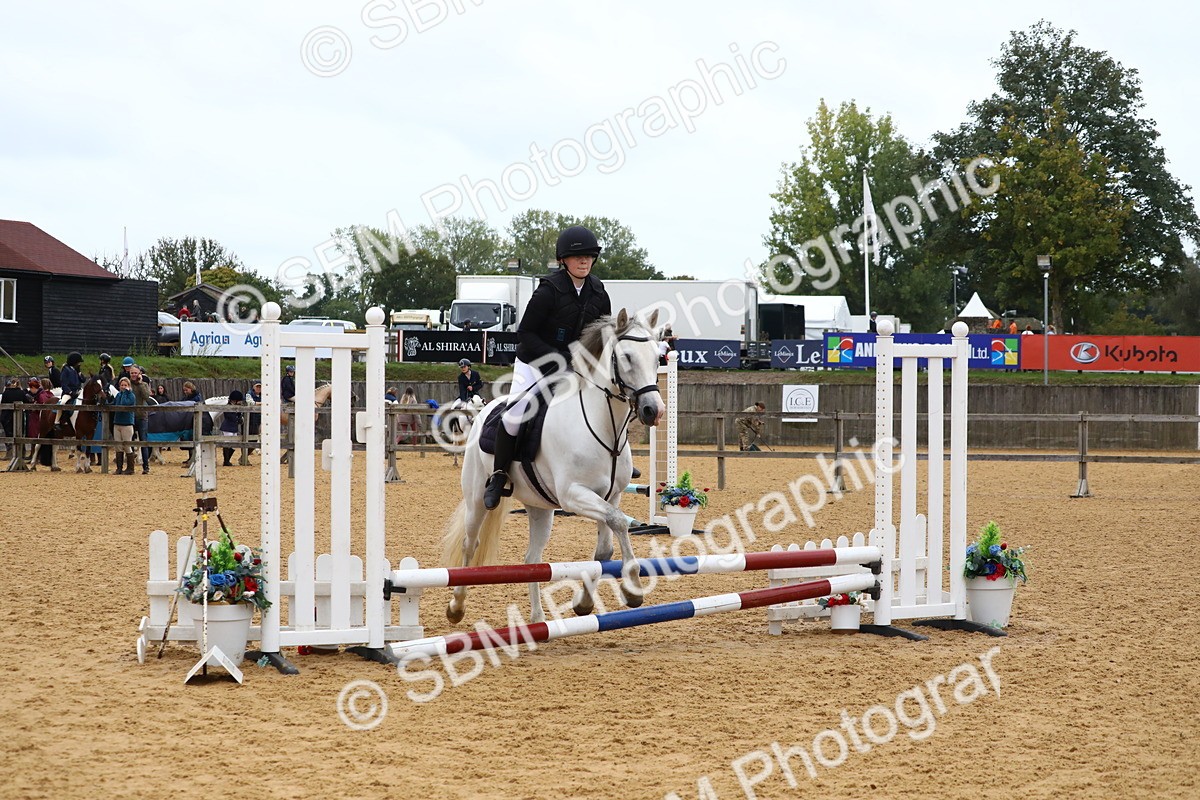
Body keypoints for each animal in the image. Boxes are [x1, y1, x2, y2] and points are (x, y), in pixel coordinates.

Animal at [442, 309, 664, 625]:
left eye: (658, 358)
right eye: (627, 357)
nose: (653, 410)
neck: (602, 425)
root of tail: (485, 410)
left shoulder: (610, 496)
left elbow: (605, 548)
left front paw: (584, 602)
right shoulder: (573, 495)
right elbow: (620, 522)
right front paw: (632, 588)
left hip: (540, 509)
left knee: (532, 560)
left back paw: (537, 618)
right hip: (476, 500)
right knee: (469, 544)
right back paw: (456, 607)